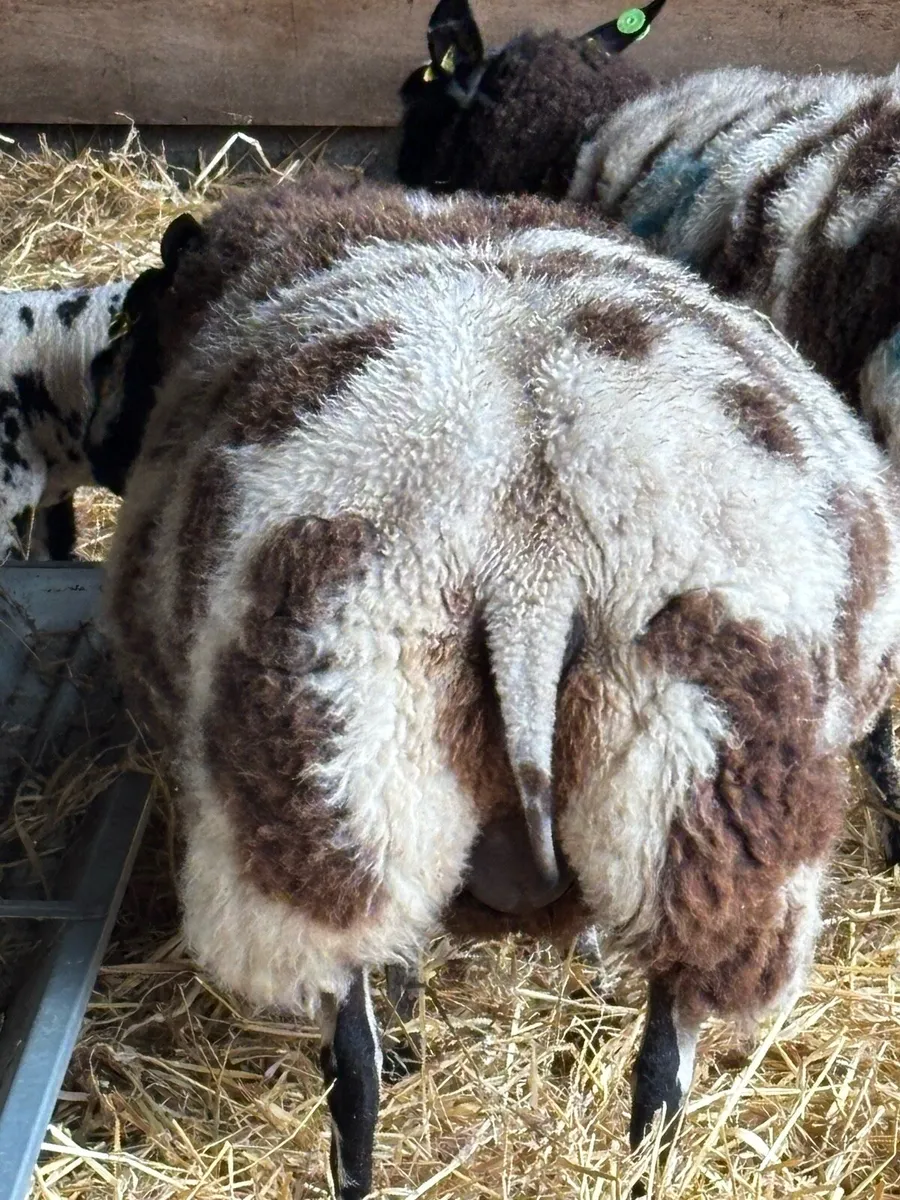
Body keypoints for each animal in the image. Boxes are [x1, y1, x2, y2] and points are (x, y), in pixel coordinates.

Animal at [95, 174, 900, 1198]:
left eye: (131, 328)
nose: (106, 457)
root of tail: (531, 563)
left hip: (336, 790)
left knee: (353, 1070)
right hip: (701, 806)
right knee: (661, 1070)